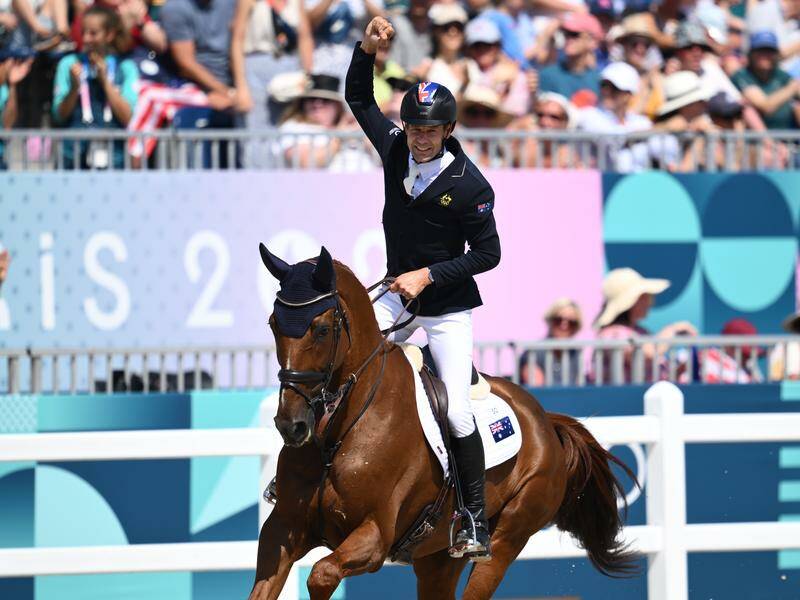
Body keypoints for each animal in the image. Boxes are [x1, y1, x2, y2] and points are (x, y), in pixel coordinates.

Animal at [250, 244, 637, 600]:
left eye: (321, 329)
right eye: (272, 324)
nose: (291, 425)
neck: (341, 428)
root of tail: (545, 421)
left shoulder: (373, 536)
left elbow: (322, 574)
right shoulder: (281, 530)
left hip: (508, 535)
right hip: (436, 558)